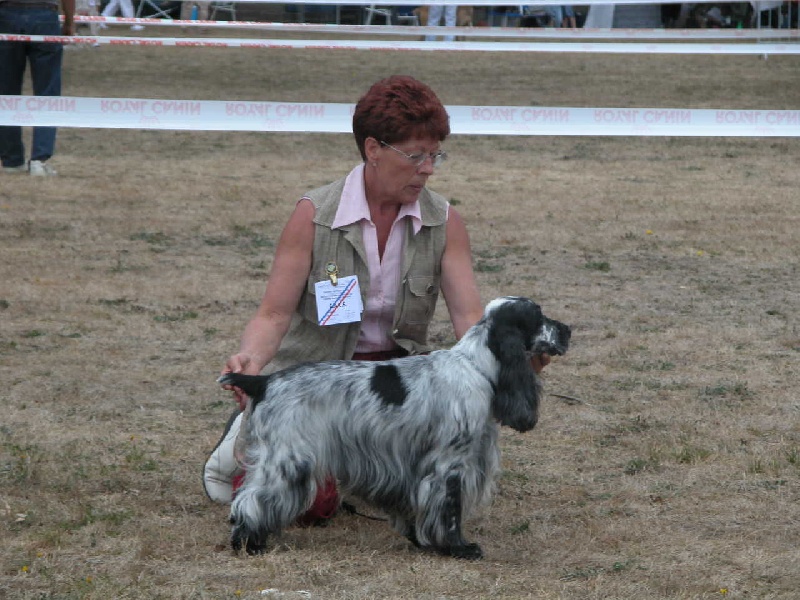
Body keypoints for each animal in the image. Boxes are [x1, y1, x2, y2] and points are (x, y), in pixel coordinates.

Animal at [219, 298, 568, 560]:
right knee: (252, 500)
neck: (477, 367)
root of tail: (264, 381)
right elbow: (449, 509)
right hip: (290, 457)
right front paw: (459, 547)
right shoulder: (451, 464)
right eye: (539, 316)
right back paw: (250, 543)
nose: (567, 329)